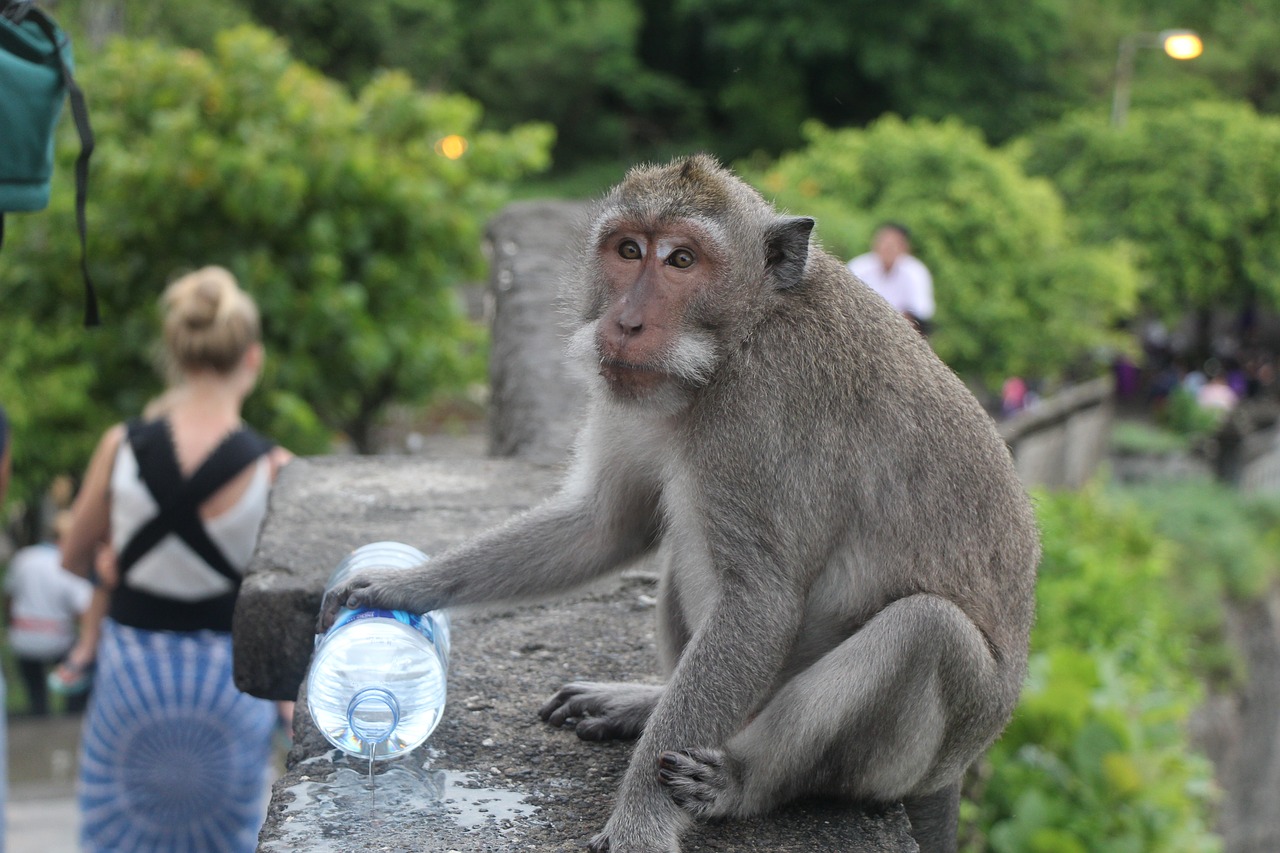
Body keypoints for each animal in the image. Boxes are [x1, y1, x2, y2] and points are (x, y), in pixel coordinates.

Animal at [320, 154, 1039, 850]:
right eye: (629, 249)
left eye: (682, 261)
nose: (625, 321)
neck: (737, 339)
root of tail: (956, 771)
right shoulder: (631, 389)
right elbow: (608, 522)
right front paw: (399, 586)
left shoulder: (761, 412)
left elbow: (759, 603)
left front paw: (640, 820)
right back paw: (645, 704)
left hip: (912, 756)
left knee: (927, 630)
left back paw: (741, 781)